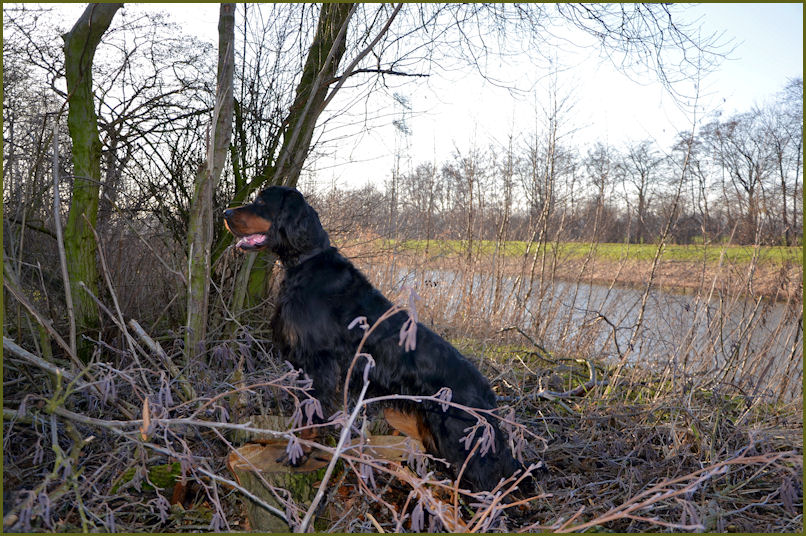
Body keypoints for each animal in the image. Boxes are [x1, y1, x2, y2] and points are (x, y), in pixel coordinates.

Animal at [224, 185, 523, 493]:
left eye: (261, 202)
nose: (225, 212)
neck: (307, 263)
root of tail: (489, 394)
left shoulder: (318, 364)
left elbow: (311, 415)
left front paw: (298, 454)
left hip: (461, 439)